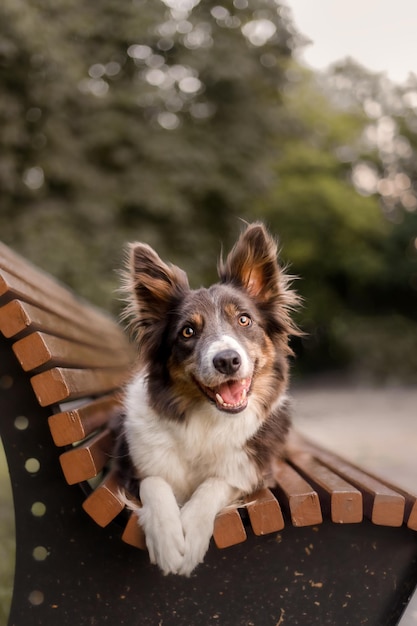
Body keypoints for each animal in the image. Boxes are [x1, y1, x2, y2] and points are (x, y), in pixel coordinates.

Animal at [114, 223, 300, 576]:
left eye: (244, 320)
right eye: (188, 332)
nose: (227, 361)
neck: (207, 421)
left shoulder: (252, 470)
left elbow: (215, 483)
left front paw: (190, 528)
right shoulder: (131, 465)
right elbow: (154, 481)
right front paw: (168, 538)